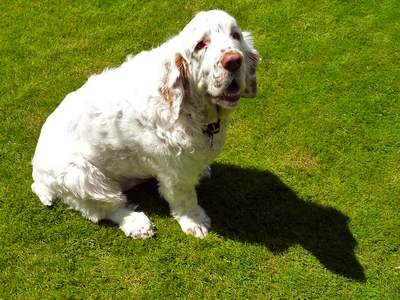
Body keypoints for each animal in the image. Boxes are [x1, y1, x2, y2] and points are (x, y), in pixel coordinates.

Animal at [32, 9, 260, 239]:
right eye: (200, 44)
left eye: (235, 35)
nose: (234, 60)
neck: (188, 107)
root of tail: (37, 177)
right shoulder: (174, 172)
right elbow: (185, 198)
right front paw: (195, 222)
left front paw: (203, 170)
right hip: (83, 177)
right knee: (104, 208)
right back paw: (137, 224)